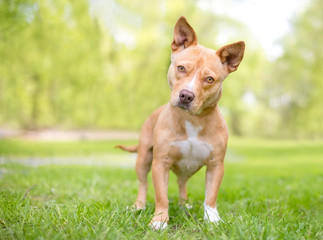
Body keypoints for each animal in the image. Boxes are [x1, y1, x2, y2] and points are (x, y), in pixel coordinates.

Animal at [117, 15, 247, 230]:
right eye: (181, 68)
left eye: (209, 79)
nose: (186, 95)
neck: (191, 119)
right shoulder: (160, 163)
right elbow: (161, 196)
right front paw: (159, 220)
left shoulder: (216, 165)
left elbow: (211, 196)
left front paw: (212, 219)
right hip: (143, 158)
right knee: (143, 183)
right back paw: (139, 206)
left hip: (186, 168)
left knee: (182, 183)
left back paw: (184, 205)